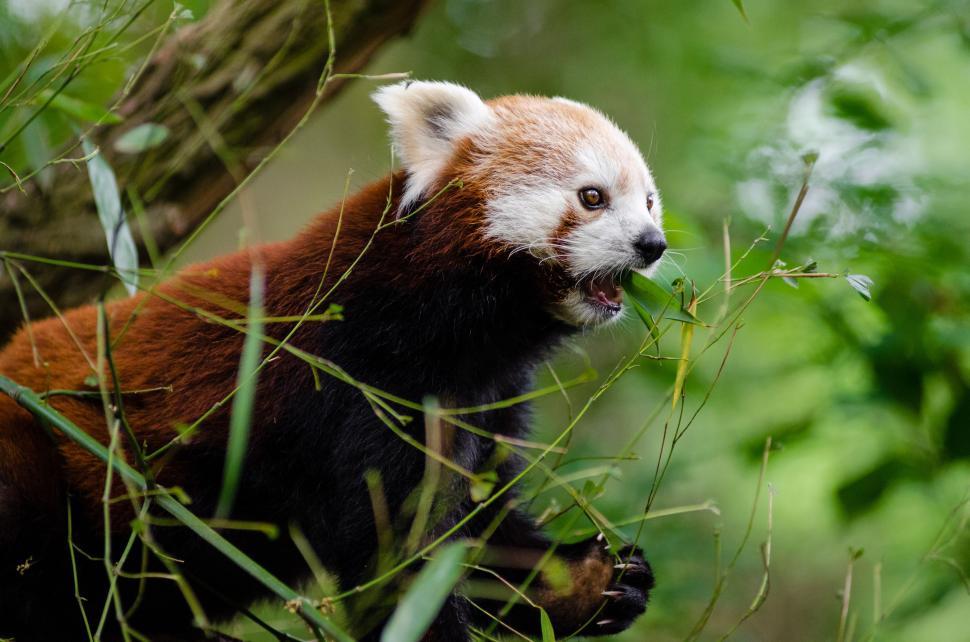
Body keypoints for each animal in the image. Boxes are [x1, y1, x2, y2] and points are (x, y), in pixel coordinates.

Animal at [0, 82, 660, 636]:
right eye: (593, 197)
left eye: (649, 201)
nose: (653, 244)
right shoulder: (363, 381)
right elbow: (393, 559)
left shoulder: (490, 399)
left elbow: (477, 537)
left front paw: (588, 582)